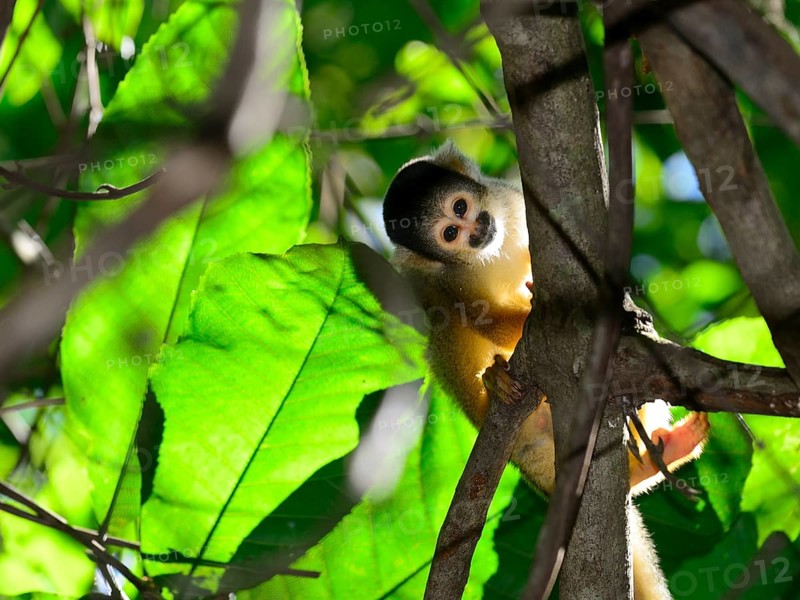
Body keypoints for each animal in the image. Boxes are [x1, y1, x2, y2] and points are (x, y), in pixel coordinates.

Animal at [382, 141, 709, 600]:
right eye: (449, 234)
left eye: (461, 206)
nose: (476, 228)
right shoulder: (444, 280)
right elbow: (483, 318)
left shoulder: (509, 202)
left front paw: (622, 306)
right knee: (444, 334)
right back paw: (495, 385)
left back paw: (649, 461)